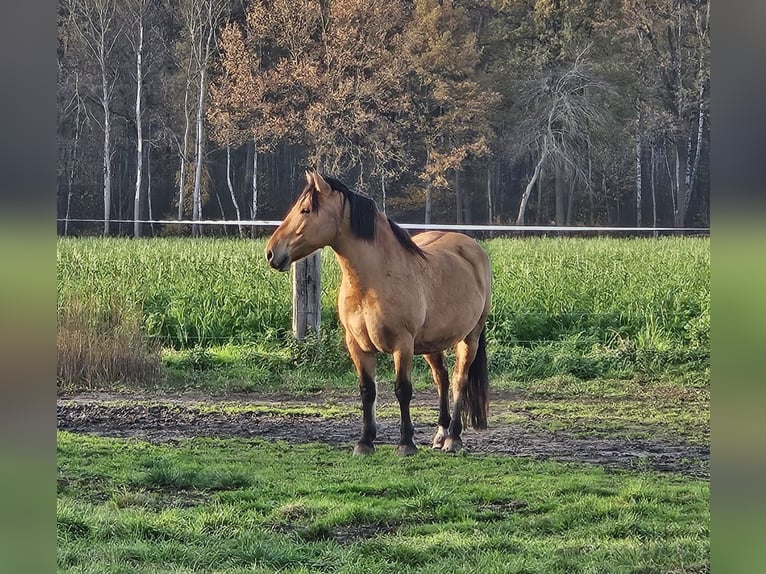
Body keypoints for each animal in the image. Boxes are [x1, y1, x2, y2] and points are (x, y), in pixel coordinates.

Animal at [266, 171, 491, 456]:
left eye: (305, 209)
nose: (271, 252)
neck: (373, 280)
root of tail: (472, 248)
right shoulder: (357, 345)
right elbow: (367, 391)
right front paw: (365, 442)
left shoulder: (402, 345)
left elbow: (402, 390)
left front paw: (406, 443)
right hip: (432, 343)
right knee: (441, 378)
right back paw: (440, 435)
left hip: (469, 338)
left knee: (459, 380)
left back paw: (453, 437)